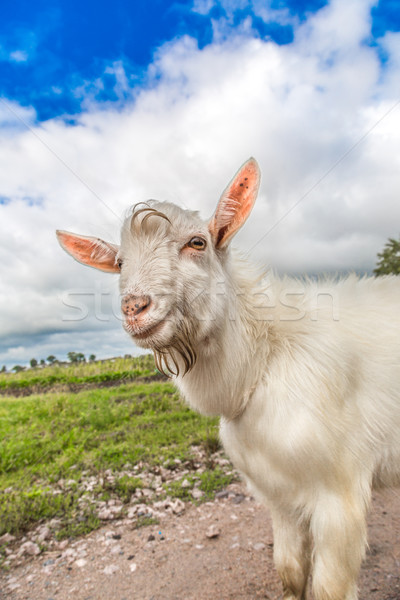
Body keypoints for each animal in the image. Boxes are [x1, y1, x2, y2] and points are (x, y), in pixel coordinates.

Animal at [55, 159, 400, 600]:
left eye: (197, 242)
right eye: (118, 263)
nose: (135, 307)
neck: (266, 358)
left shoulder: (341, 497)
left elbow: (328, 588)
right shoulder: (279, 496)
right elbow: (289, 570)